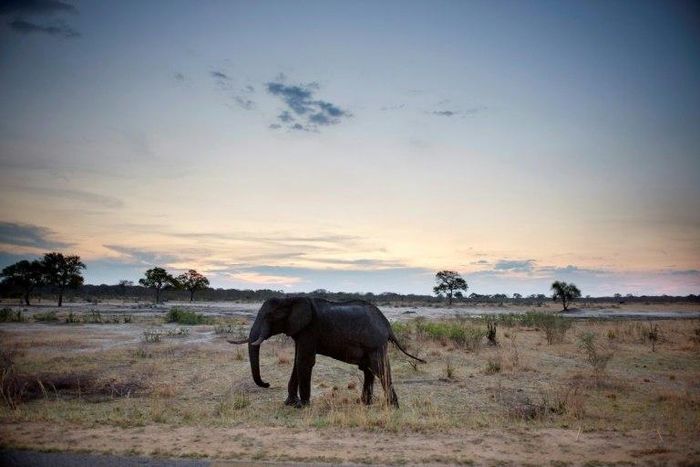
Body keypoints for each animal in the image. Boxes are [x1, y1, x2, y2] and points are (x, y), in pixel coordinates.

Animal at [229, 296, 425, 408]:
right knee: (369, 370)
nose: (267, 384)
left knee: (380, 369)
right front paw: (289, 404)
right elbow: (297, 361)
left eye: (269, 316)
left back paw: (393, 407)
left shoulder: (310, 329)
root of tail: (387, 324)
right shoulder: (300, 331)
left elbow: (304, 361)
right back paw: (365, 404)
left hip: (375, 344)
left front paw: (302, 406)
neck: (291, 299)